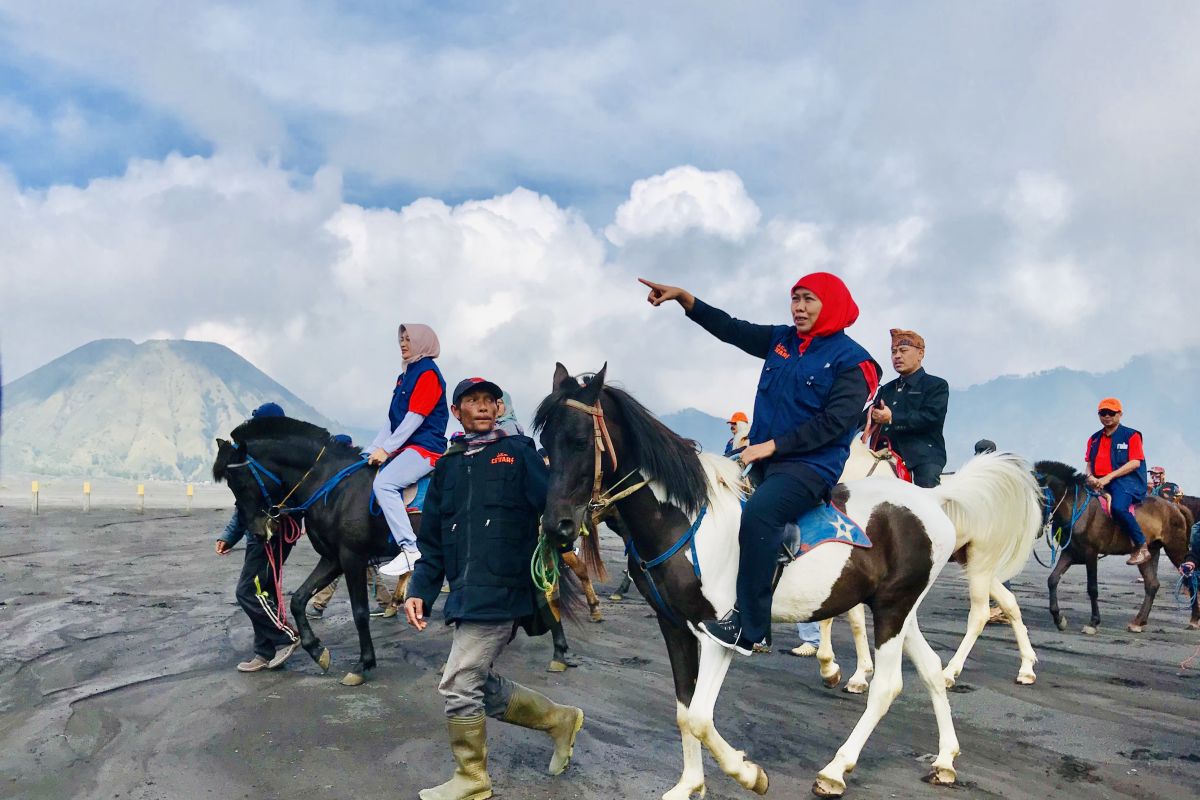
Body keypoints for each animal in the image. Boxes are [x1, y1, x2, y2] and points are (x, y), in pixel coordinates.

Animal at [535, 367, 1022, 796]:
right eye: (544, 443)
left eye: (579, 441)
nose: (557, 525)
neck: (685, 519)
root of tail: (931, 497)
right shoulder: (674, 626)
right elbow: (684, 710)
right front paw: (689, 785)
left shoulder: (720, 633)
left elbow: (700, 717)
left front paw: (748, 773)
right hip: (901, 610)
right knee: (932, 669)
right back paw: (945, 761)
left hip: (892, 610)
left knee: (888, 686)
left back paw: (835, 770)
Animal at [1036, 460, 1195, 633]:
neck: (1077, 508)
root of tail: (1175, 507)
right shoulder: (1070, 553)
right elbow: (1052, 580)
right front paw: (1059, 619)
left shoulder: (1090, 553)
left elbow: (1092, 588)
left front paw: (1093, 622)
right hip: (1148, 553)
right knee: (1152, 584)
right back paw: (1138, 622)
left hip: (1175, 548)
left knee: (1190, 577)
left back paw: (1194, 620)